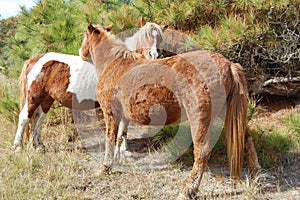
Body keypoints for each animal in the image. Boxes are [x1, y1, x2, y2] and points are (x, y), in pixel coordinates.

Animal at [13, 18, 166, 152]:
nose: (153, 55)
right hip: (34, 96)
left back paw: (39, 146)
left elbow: (123, 127)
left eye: (160, 38)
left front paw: (123, 148)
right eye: (145, 35)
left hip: (46, 99)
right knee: (24, 118)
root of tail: (34, 60)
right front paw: (122, 149)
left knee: (38, 120)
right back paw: (18, 147)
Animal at [79, 24, 260, 199]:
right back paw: (255, 179)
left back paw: (188, 190)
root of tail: (230, 65)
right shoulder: (123, 116)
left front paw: (105, 167)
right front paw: (118, 161)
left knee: (202, 152)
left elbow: (110, 139)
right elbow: (120, 138)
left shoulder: (110, 114)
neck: (115, 65)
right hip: (229, 114)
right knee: (248, 141)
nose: (81, 53)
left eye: (85, 37)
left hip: (199, 118)